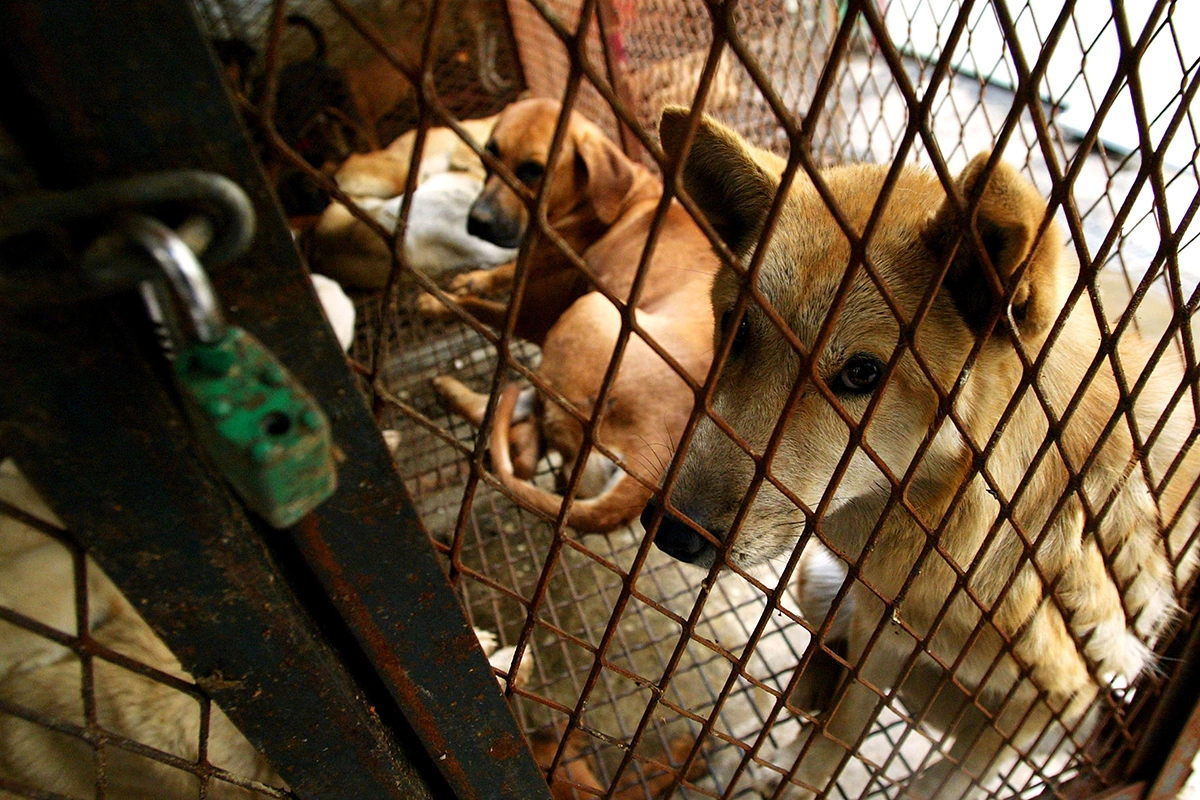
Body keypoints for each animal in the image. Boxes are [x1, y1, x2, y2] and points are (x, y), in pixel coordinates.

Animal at [427, 100, 715, 534]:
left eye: (533, 169)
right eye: (489, 154)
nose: (477, 221)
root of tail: (657, 454)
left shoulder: (533, 318)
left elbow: (473, 305)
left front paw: (436, 298)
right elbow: (498, 275)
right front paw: (472, 279)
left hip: (586, 314)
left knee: (517, 429)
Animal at [648, 107, 1200, 800]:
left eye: (862, 373)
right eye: (737, 327)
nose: (670, 530)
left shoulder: (1054, 704)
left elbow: (950, 780)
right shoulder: (884, 630)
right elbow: (836, 735)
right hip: (826, 586)